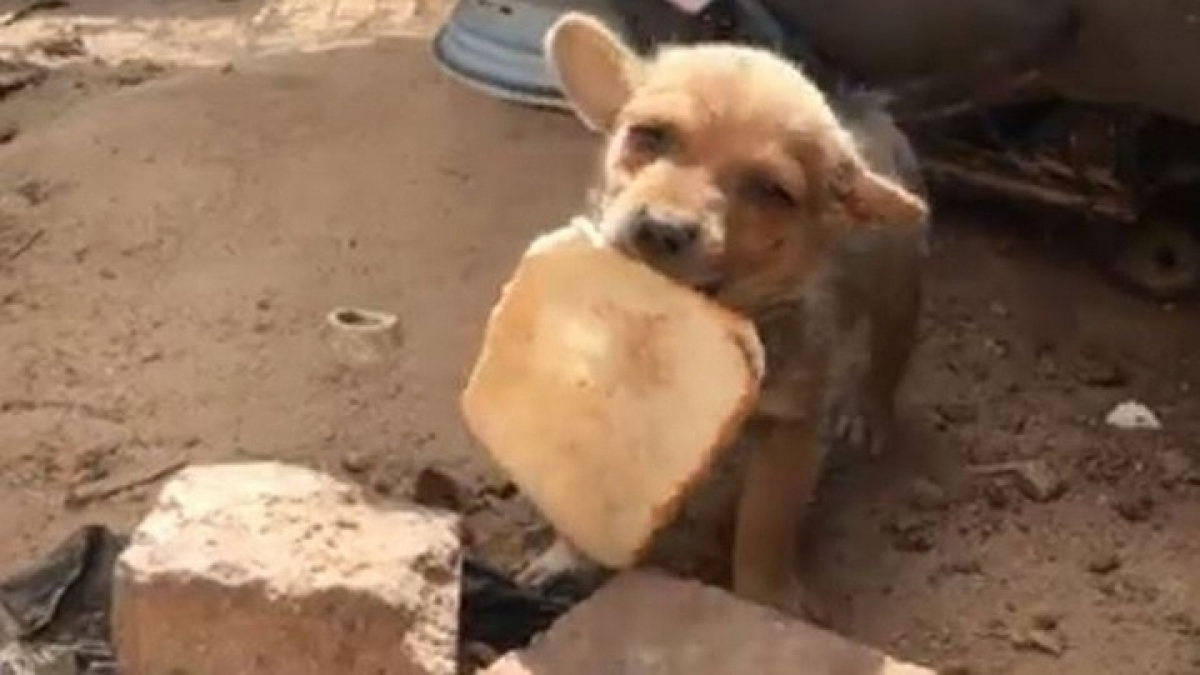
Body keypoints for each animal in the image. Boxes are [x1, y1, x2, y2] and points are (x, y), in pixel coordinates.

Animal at [520, 13, 931, 619]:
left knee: (890, 354)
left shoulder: (791, 430)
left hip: (899, 287)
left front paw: (767, 597)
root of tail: (863, 104)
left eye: (771, 192)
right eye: (648, 136)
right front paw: (565, 558)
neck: (719, 314)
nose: (661, 229)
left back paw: (868, 412)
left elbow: (765, 524)